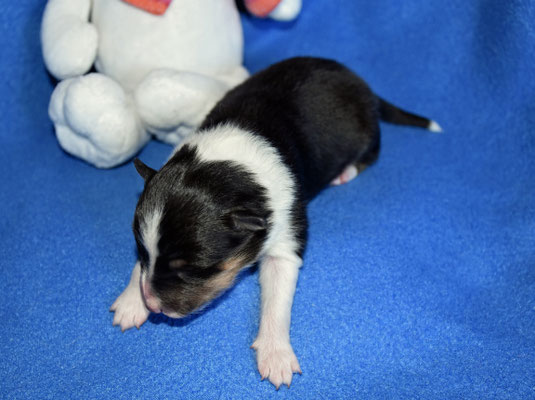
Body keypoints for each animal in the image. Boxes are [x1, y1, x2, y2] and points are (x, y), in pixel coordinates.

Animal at [111, 56, 442, 388]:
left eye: (192, 270)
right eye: (141, 251)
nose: (153, 305)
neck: (231, 166)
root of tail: (359, 82)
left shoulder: (287, 235)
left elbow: (277, 300)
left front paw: (276, 355)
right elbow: (141, 267)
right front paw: (131, 301)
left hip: (365, 135)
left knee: (371, 154)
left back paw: (345, 172)